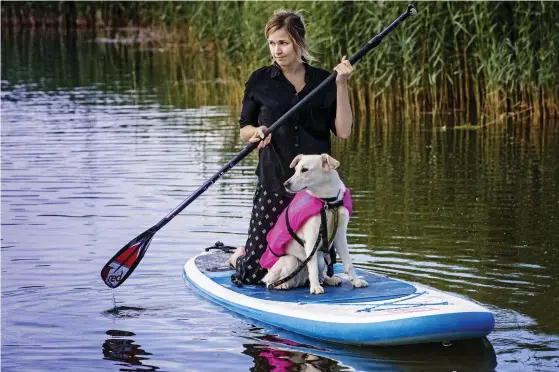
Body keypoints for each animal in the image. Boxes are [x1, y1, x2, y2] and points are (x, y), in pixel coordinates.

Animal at [262, 153, 370, 294]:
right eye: (295, 170)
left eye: (304, 170)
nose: (286, 184)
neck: (328, 202)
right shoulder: (312, 239)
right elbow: (312, 268)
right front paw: (315, 288)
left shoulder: (340, 236)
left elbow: (348, 263)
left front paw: (356, 282)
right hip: (290, 261)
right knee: (269, 282)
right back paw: (282, 284)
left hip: (321, 260)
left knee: (321, 274)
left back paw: (330, 279)